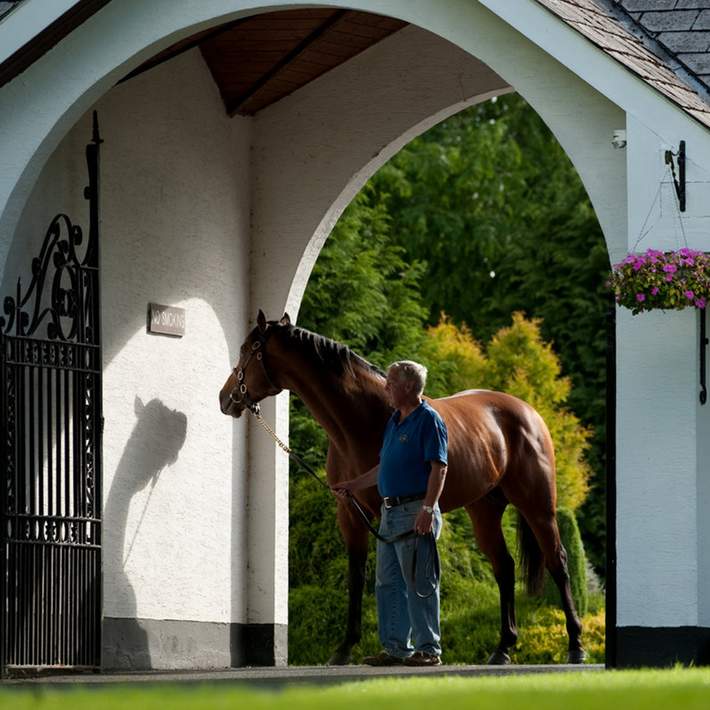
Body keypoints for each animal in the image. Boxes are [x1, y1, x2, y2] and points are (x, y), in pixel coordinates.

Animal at [220, 312, 588, 668]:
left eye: (246, 348)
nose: (226, 398)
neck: (363, 420)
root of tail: (528, 412)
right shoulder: (350, 512)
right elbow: (359, 576)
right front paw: (348, 648)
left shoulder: (389, 513)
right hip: (484, 510)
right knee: (505, 567)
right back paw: (503, 649)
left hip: (538, 505)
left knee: (558, 561)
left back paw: (576, 645)